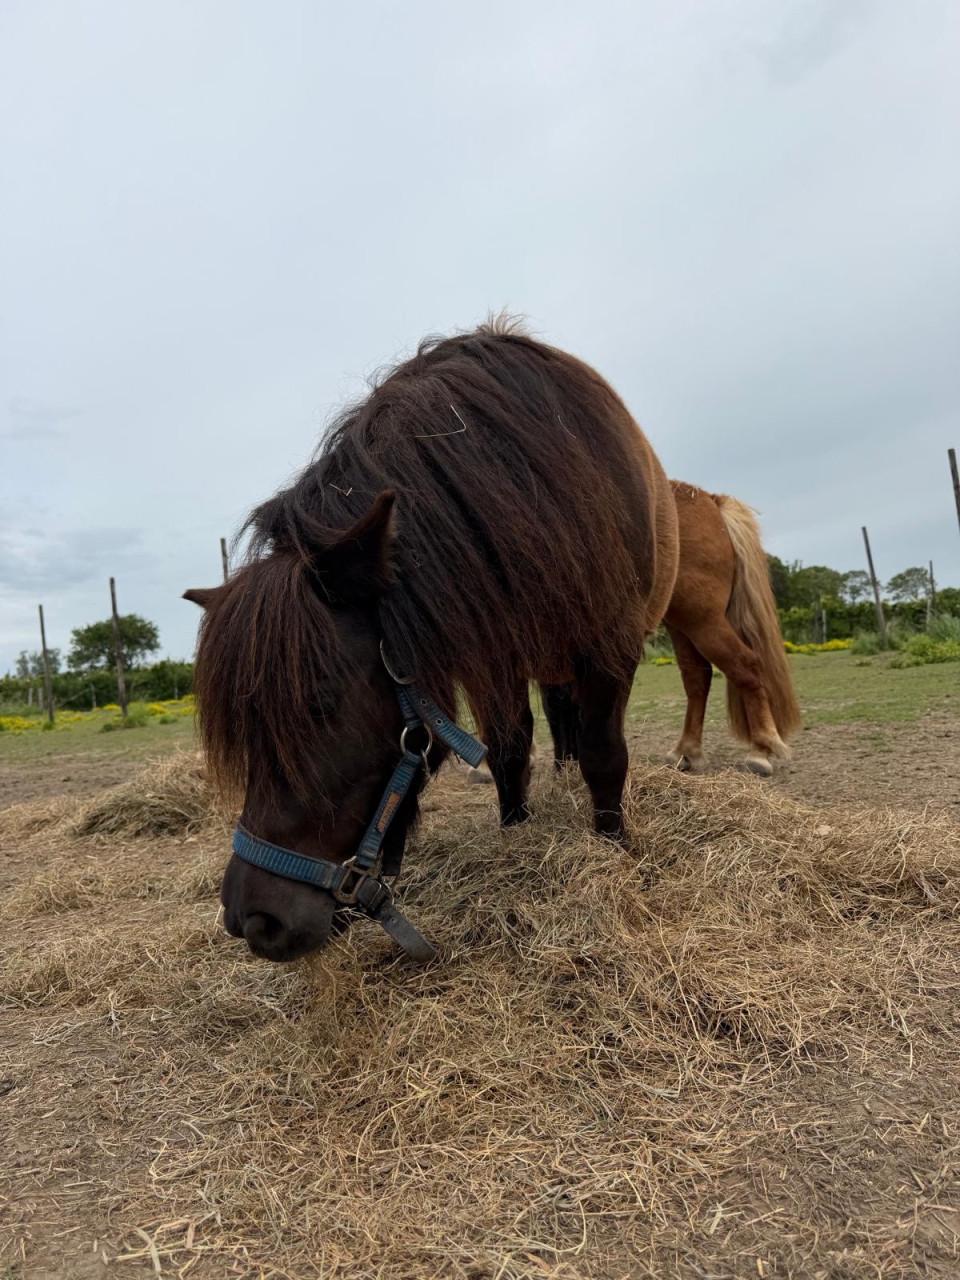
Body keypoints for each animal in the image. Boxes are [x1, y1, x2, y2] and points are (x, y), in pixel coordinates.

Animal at [184, 322, 679, 963]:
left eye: (319, 705)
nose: (251, 920)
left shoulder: (612, 646)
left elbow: (604, 754)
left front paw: (614, 849)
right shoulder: (492, 654)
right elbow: (509, 751)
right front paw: (515, 835)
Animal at [539, 481, 800, 778]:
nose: (565, 767)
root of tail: (710, 500)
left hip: (703, 620)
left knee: (745, 666)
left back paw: (761, 748)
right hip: (682, 624)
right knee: (698, 678)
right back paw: (687, 752)